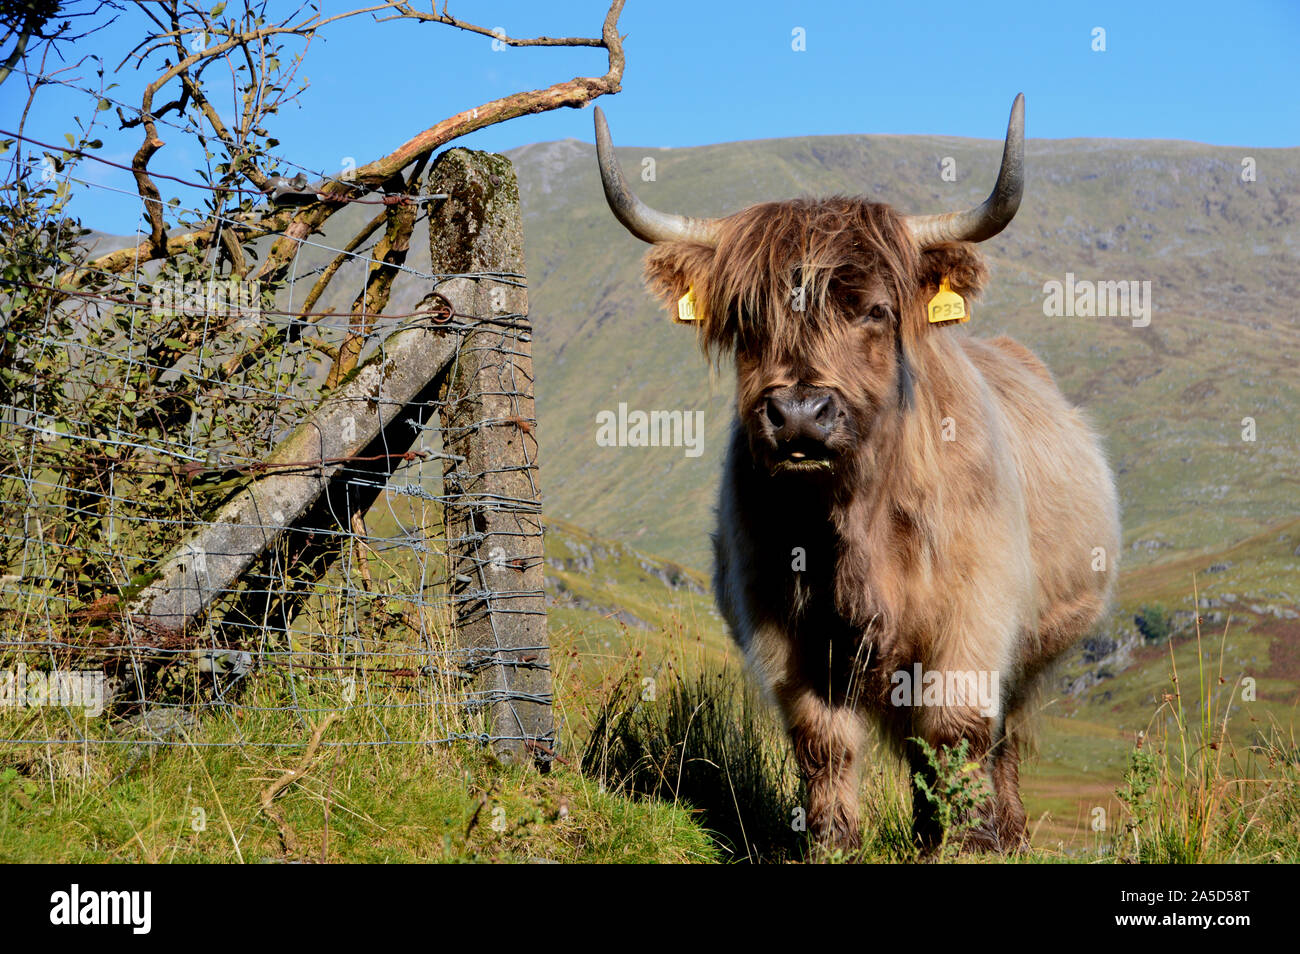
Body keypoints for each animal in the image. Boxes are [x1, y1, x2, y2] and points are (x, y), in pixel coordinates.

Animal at [595, 97, 1118, 857]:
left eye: (874, 309)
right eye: (748, 316)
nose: (799, 415)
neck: (851, 525)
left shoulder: (975, 615)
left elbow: (958, 731)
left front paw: (967, 843)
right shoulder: (785, 630)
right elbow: (825, 741)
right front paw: (833, 842)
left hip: (1032, 649)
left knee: (1004, 738)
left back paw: (1007, 833)